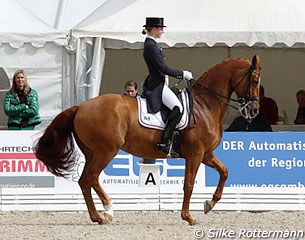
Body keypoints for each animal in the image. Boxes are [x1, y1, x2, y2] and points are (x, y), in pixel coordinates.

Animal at [34, 54, 260, 225]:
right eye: (256, 80)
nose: (254, 111)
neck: (204, 105)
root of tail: (81, 106)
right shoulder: (195, 154)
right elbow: (188, 184)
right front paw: (188, 217)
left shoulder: (206, 154)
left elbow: (224, 172)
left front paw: (209, 204)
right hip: (106, 151)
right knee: (91, 177)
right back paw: (108, 210)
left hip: (92, 152)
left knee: (84, 181)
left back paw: (97, 217)